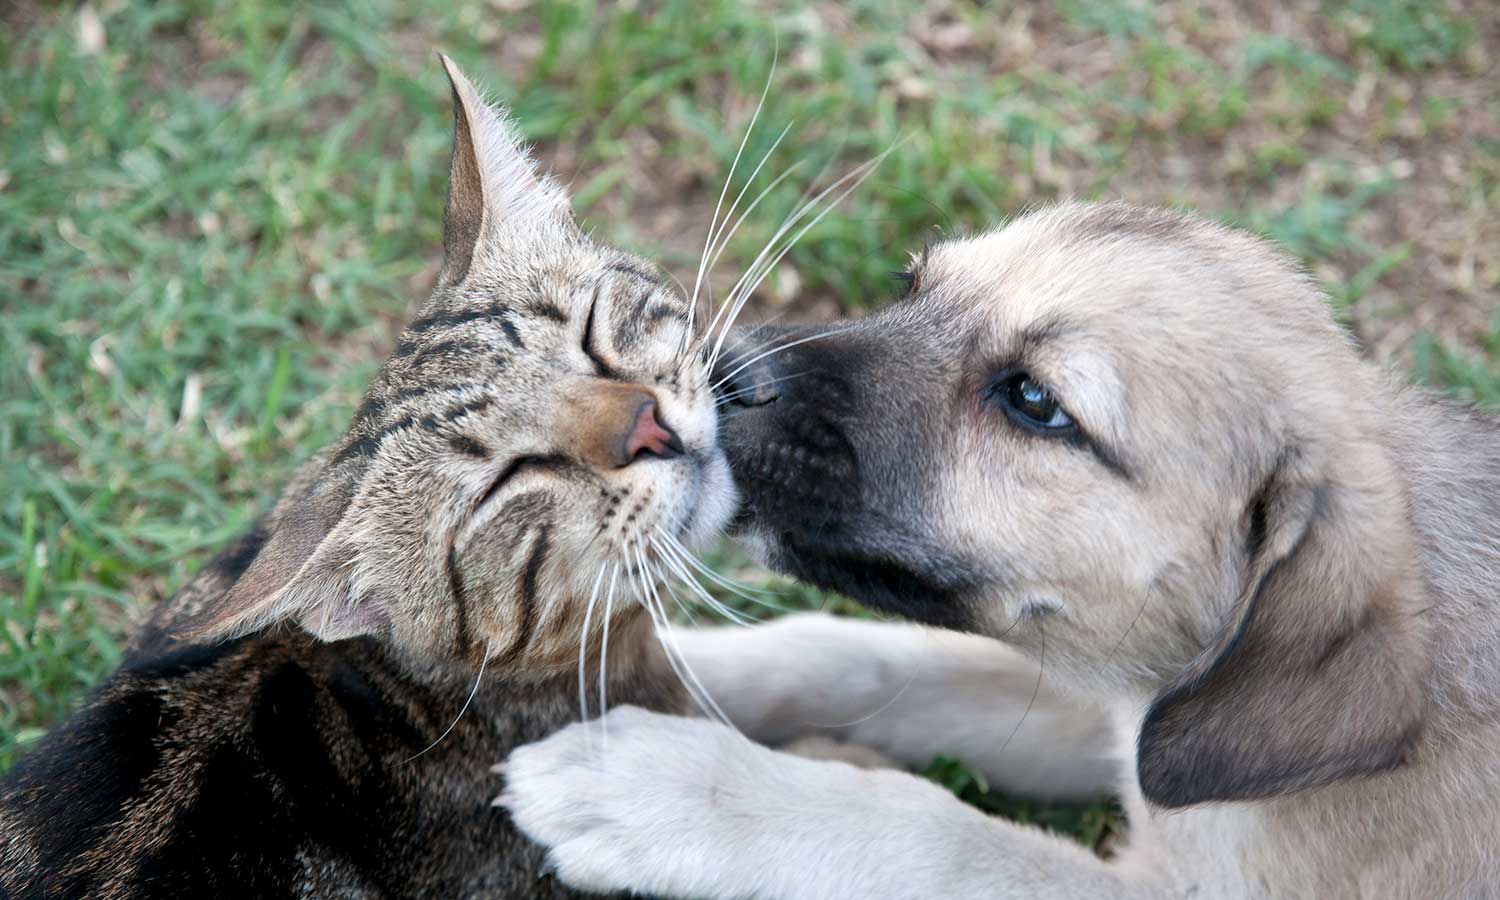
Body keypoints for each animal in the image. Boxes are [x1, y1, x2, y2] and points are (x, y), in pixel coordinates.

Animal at [495, 201, 1500, 894]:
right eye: (911, 286)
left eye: (1035, 401)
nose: (718, 372)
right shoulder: (1111, 691)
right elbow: (867, 655)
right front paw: (655, 669)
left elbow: (931, 832)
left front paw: (668, 787)